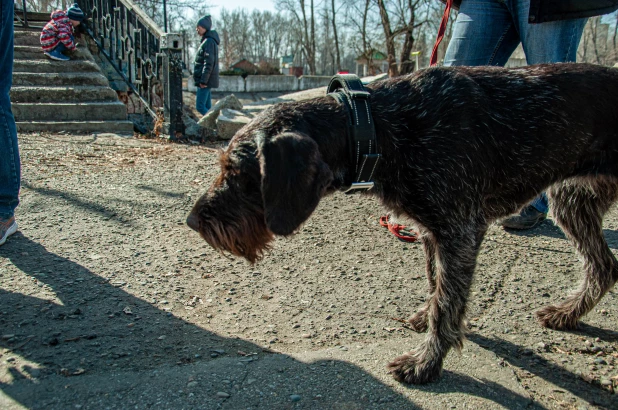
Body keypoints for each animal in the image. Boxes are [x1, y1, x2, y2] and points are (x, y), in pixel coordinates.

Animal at [185, 62, 616, 382]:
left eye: (235, 172)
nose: (191, 221)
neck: (377, 127)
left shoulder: (458, 233)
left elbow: (447, 302)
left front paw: (426, 363)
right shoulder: (432, 232)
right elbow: (436, 286)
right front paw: (426, 321)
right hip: (572, 201)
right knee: (604, 265)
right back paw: (568, 313)